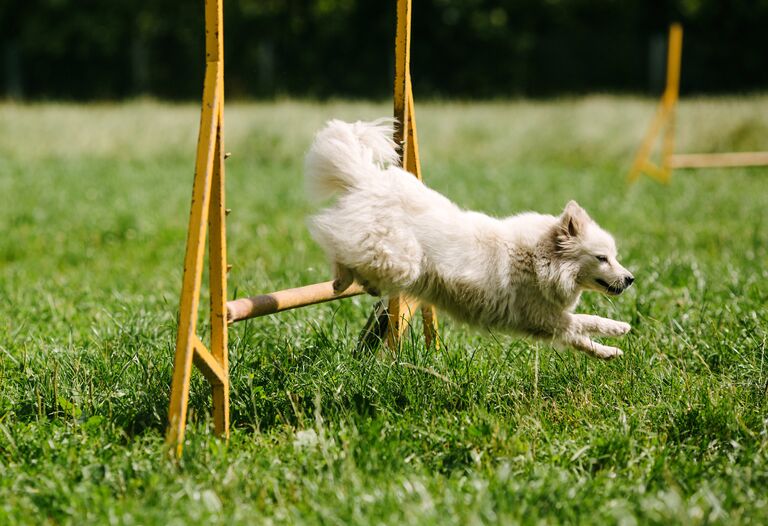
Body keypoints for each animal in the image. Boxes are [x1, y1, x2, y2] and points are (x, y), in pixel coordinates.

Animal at [306, 119, 636, 360]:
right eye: (602, 258)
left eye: (614, 256)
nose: (631, 278)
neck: (538, 260)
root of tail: (368, 179)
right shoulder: (542, 316)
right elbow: (587, 320)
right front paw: (620, 329)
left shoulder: (544, 323)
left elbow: (581, 337)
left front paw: (610, 352)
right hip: (401, 261)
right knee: (335, 241)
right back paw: (342, 281)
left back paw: (351, 283)